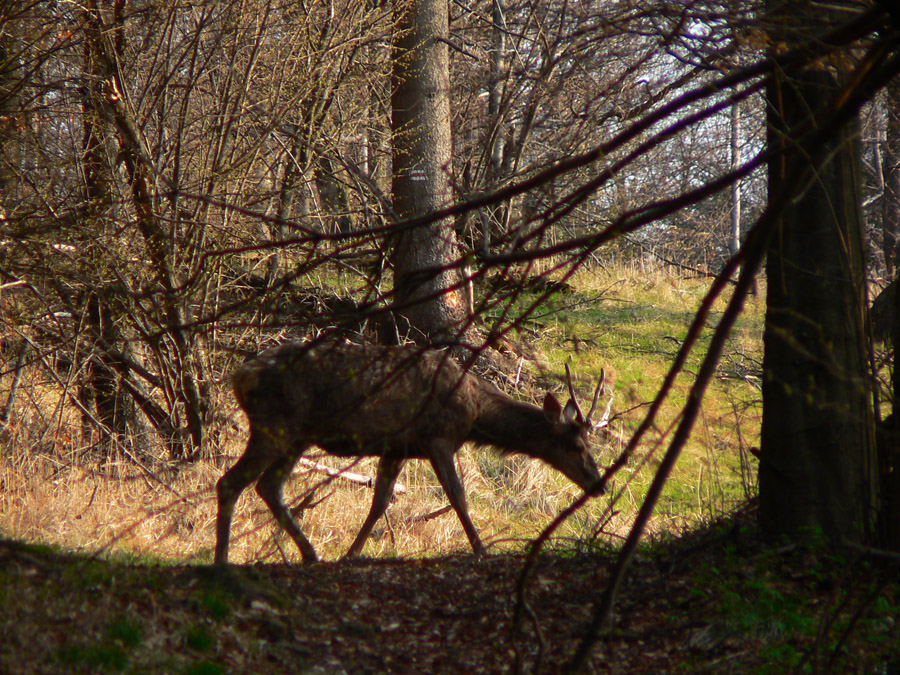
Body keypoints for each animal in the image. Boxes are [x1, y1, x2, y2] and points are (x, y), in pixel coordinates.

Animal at [214, 338, 608, 564]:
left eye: (589, 444)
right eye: (575, 445)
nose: (600, 484)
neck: (475, 412)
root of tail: (238, 375)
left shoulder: (397, 446)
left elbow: (379, 502)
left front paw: (351, 553)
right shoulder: (438, 437)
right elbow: (458, 496)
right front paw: (481, 549)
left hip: (298, 436)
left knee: (269, 486)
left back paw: (310, 554)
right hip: (275, 425)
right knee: (230, 482)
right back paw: (222, 559)